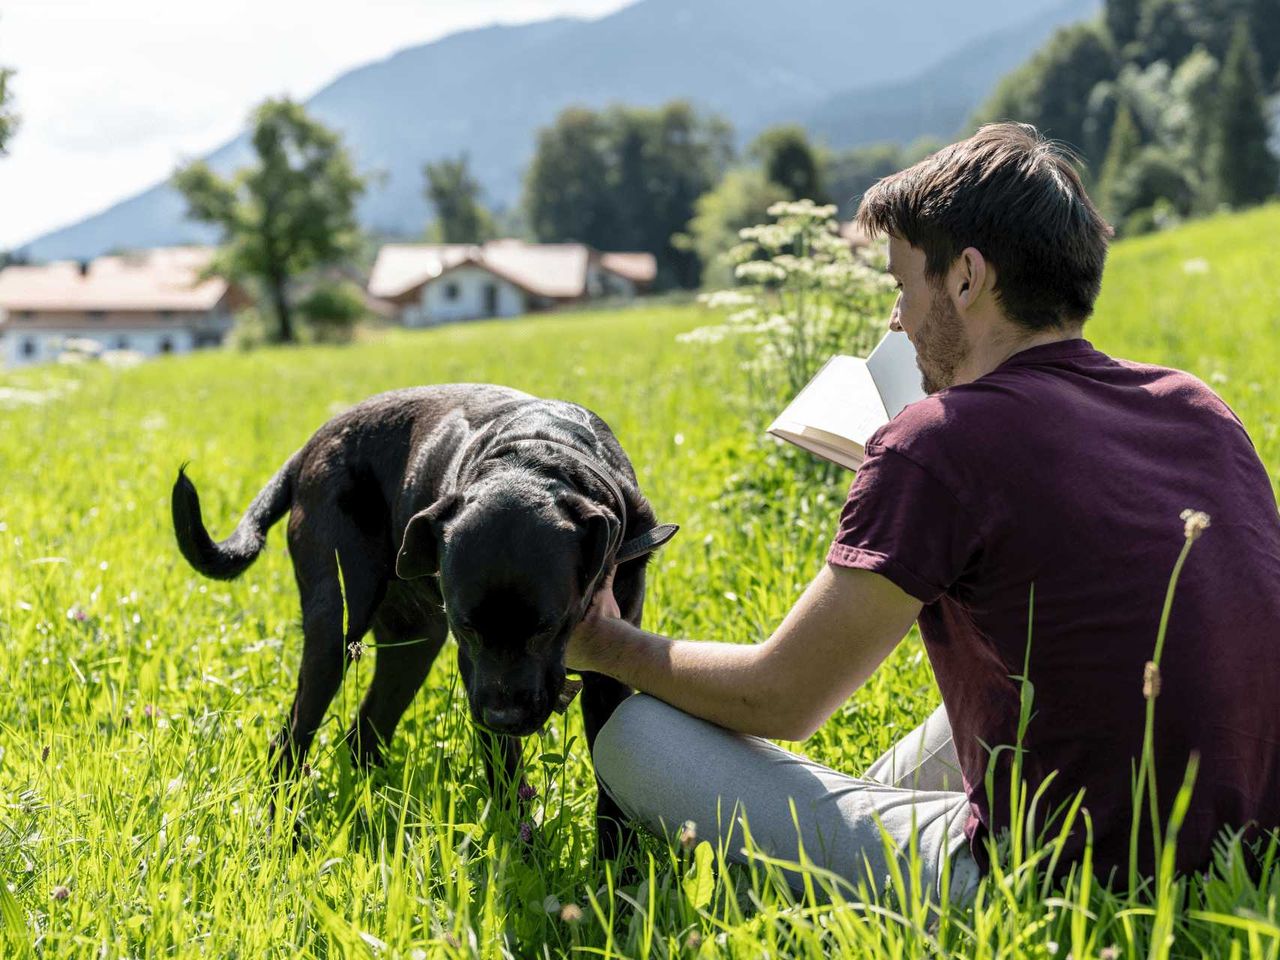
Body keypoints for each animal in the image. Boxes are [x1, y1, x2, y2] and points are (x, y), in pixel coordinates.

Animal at [170, 384, 680, 855]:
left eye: (548, 627)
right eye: (467, 626)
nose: (504, 718)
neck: (537, 458)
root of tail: (308, 448)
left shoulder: (608, 671)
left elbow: (609, 782)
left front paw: (617, 870)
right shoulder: (475, 672)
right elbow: (506, 773)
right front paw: (526, 857)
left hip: (412, 645)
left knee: (364, 732)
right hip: (336, 627)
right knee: (291, 740)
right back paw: (287, 834)